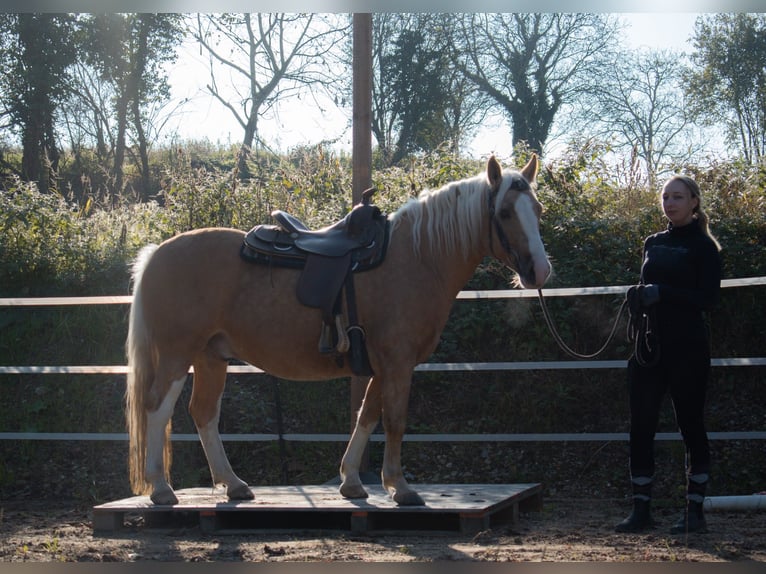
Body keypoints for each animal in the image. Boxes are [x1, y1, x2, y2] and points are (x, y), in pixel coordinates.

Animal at [129, 154, 556, 508]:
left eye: (537, 209)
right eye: (504, 212)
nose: (540, 271)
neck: (419, 257)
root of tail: (156, 253)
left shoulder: (383, 365)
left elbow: (367, 415)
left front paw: (352, 480)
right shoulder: (398, 362)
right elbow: (394, 420)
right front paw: (400, 487)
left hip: (211, 357)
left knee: (203, 413)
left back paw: (233, 484)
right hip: (177, 355)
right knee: (158, 408)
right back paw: (162, 488)